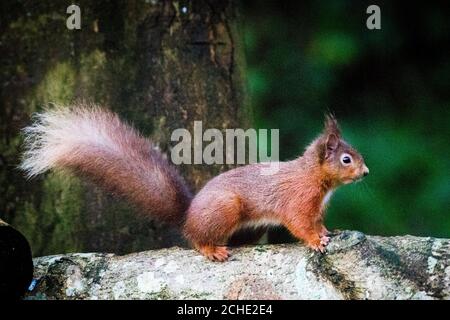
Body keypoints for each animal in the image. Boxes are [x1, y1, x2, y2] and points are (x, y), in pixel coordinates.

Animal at [20, 104, 370, 262]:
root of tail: (187, 215)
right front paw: (315, 241)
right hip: (225, 209)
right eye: (346, 160)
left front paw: (327, 233)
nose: (366, 173)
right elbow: (299, 223)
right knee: (196, 239)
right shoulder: (298, 201)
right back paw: (212, 250)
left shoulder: (316, 208)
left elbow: (318, 222)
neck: (316, 179)